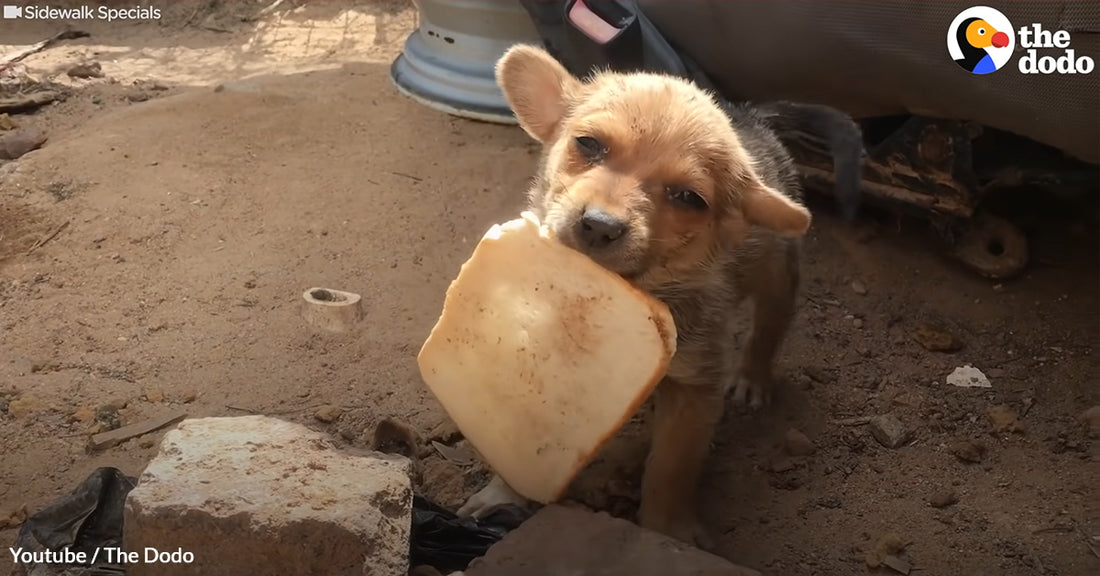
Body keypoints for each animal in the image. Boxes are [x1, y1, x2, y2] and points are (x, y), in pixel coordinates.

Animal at [459, 45, 814, 549]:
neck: (631, 289)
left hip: (777, 271)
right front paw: (502, 494)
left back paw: (753, 377)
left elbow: (671, 468)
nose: (599, 225)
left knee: (770, 324)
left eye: (688, 198)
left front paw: (668, 530)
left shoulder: (694, 390)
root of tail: (750, 116)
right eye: (588, 144)